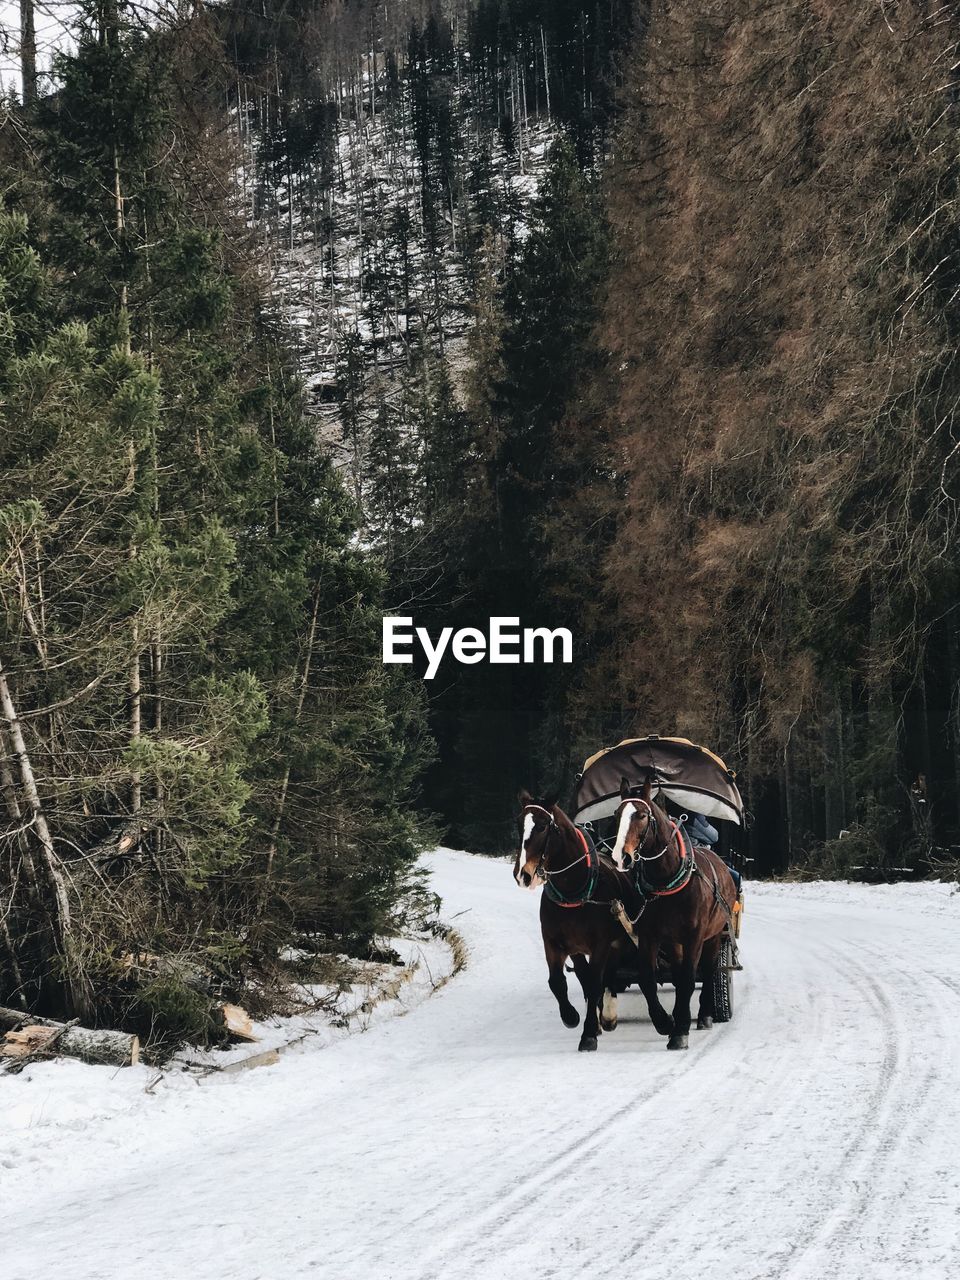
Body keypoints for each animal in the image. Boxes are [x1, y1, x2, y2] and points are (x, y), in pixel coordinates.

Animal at [514, 788, 642, 1049]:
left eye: (542, 826)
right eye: (519, 824)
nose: (523, 874)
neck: (574, 890)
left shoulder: (601, 944)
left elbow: (595, 983)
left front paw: (589, 1033)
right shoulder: (556, 943)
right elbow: (558, 981)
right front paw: (572, 1016)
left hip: (617, 942)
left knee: (608, 976)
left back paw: (607, 1015)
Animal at [611, 773, 742, 1044]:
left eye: (641, 815)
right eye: (617, 814)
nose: (621, 857)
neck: (667, 879)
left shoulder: (695, 936)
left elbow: (690, 979)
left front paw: (680, 1030)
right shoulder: (650, 935)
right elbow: (648, 980)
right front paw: (665, 1022)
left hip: (715, 935)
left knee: (709, 969)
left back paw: (705, 1015)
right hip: (675, 941)